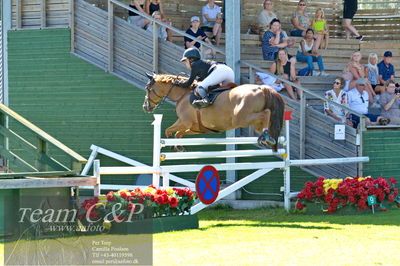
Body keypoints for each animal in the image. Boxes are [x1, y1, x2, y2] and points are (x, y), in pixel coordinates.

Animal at [141, 74, 284, 151]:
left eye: (148, 88)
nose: (145, 107)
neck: (183, 94)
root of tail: (261, 88)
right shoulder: (195, 128)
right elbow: (178, 133)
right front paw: (179, 146)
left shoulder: (184, 122)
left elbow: (169, 130)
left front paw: (172, 143)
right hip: (254, 123)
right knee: (265, 120)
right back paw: (268, 138)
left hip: (241, 119)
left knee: (266, 113)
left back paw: (266, 137)